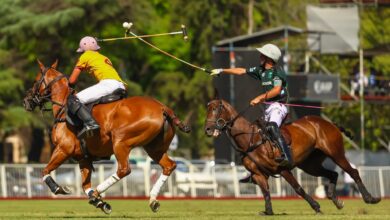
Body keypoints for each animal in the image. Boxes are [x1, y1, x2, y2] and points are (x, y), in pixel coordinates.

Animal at [22, 59, 190, 213]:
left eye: (35, 80)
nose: (26, 101)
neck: (63, 107)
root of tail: (163, 107)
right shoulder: (83, 157)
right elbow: (84, 185)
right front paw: (101, 203)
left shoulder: (64, 148)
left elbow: (45, 171)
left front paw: (59, 189)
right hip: (154, 147)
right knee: (169, 166)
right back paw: (153, 200)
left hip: (120, 142)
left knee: (124, 170)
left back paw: (97, 192)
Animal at [204, 95, 380, 215]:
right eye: (207, 109)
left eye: (215, 109)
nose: (207, 129)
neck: (250, 139)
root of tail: (330, 123)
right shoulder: (258, 174)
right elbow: (266, 192)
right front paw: (268, 211)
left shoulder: (282, 169)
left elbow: (298, 189)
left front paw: (316, 206)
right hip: (310, 164)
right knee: (333, 173)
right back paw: (335, 199)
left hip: (336, 153)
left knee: (353, 172)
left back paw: (370, 198)